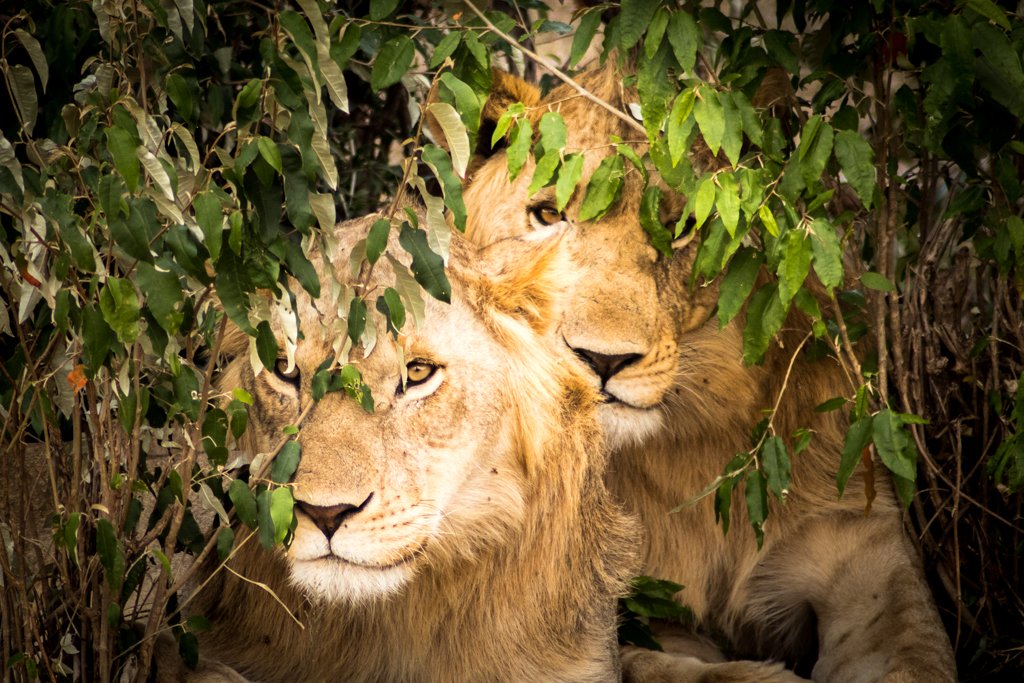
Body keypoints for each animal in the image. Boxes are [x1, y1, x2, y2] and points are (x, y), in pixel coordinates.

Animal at [451, 66, 957, 682]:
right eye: (547, 215)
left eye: (686, 226)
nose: (600, 360)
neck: (690, 456)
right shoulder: (621, 613)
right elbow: (681, 668)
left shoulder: (868, 554)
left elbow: (915, 659)